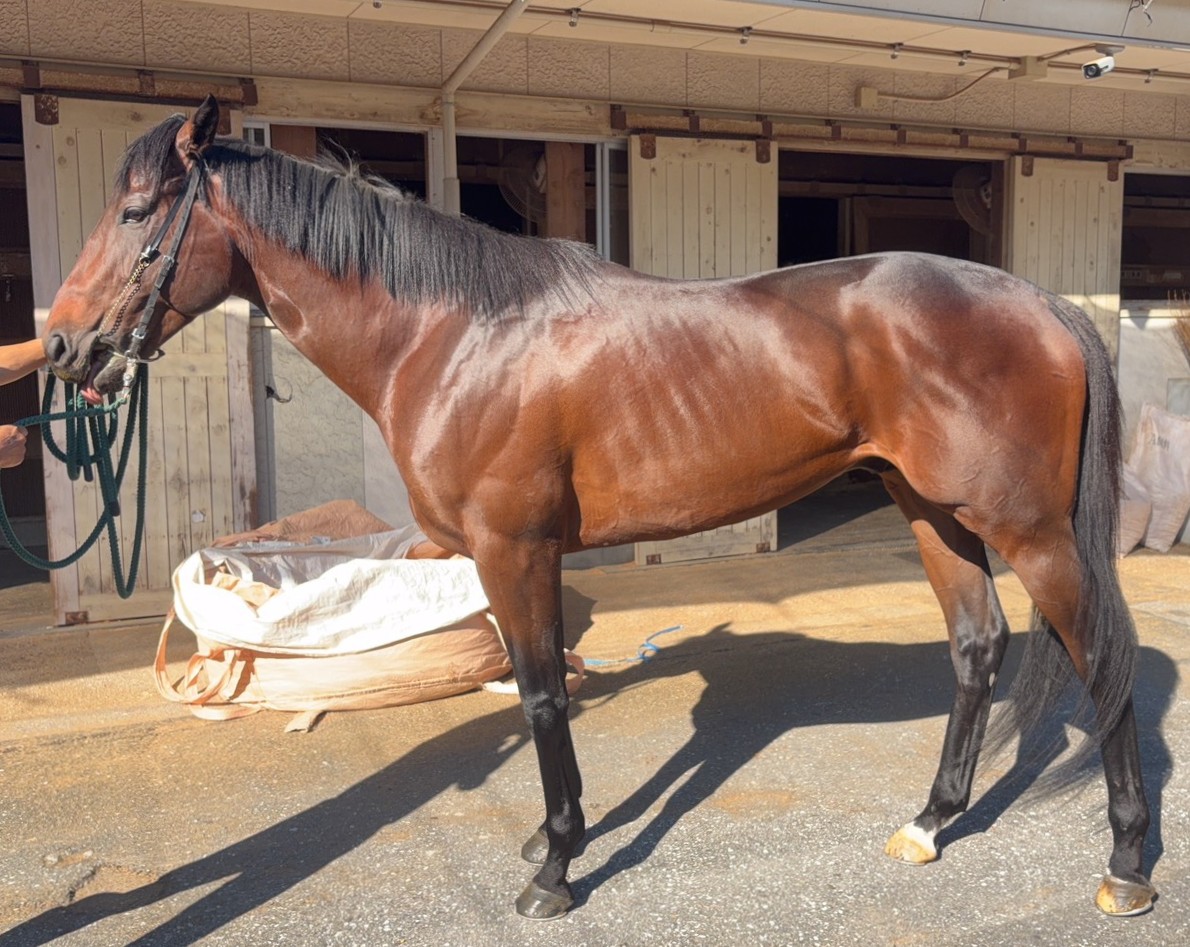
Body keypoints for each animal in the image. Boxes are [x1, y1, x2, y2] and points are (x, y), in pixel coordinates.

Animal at [43, 95, 1155, 920]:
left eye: (136, 214)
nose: (62, 346)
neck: (455, 336)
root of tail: (1042, 301)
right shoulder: (507, 557)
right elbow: (541, 691)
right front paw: (551, 837)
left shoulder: (514, 548)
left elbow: (542, 695)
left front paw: (553, 868)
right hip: (931, 510)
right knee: (977, 646)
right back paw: (929, 822)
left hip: (1027, 530)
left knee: (1101, 657)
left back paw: (1126, 866)